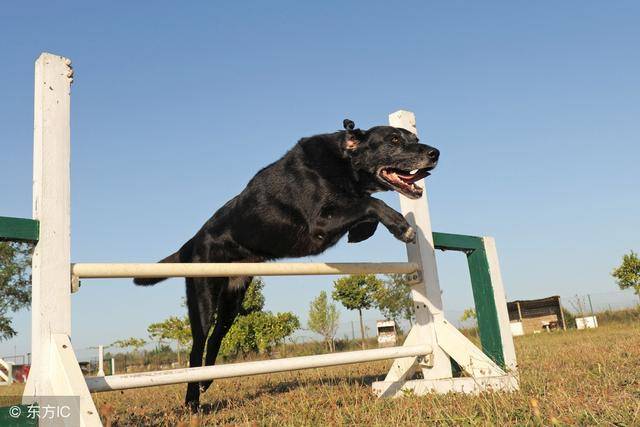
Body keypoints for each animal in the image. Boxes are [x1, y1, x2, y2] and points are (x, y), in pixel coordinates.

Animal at [132, 119, 438, 412]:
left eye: (414, 137)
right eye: (394, 140)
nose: (435, 153)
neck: (344, 162)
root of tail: (191, 242)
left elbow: (366, 208)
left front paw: (363, 232)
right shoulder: (320, 223)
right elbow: (371, 203)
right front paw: (401, 227)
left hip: (233, 299)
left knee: (216, 337)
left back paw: (207, 381)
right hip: (204, 294)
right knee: (197, 346)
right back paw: (193, 401)